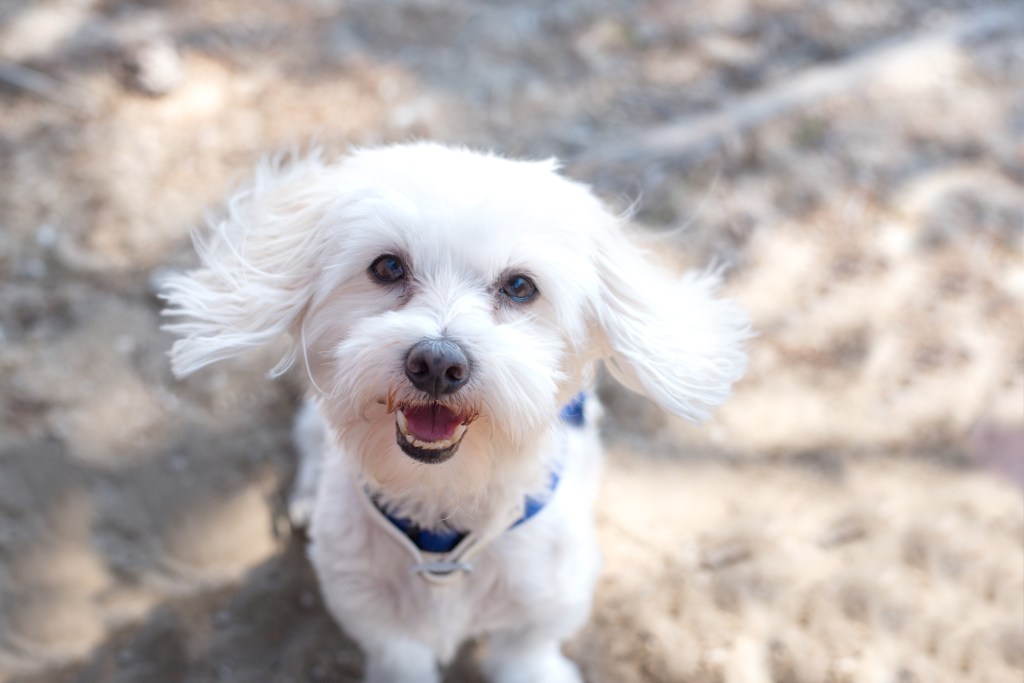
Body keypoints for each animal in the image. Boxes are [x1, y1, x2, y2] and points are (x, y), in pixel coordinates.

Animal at [161, 144, 753, 683]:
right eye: (388, 266)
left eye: (520, 286)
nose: (437, 364)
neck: (442, 518)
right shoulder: (378, 623)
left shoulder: (539, 616)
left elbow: (527, 658)